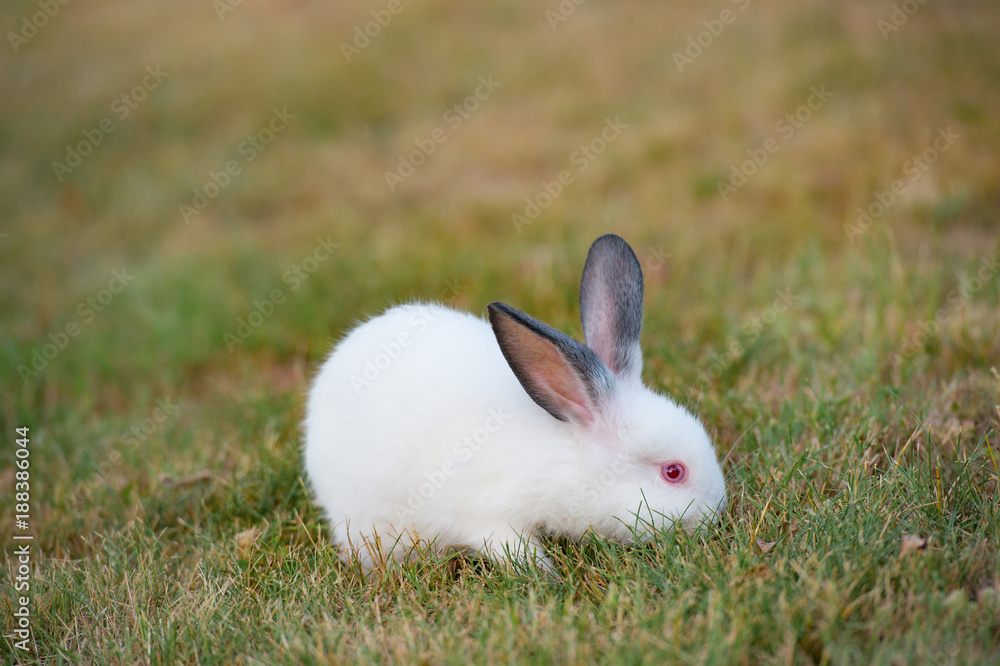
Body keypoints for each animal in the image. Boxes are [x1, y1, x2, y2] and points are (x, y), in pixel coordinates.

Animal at [303, 234, 726, 572]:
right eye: (673, 472)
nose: (718, 511)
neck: (566, 452)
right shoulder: (485, 515)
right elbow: (510, 546)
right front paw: (543, 573)